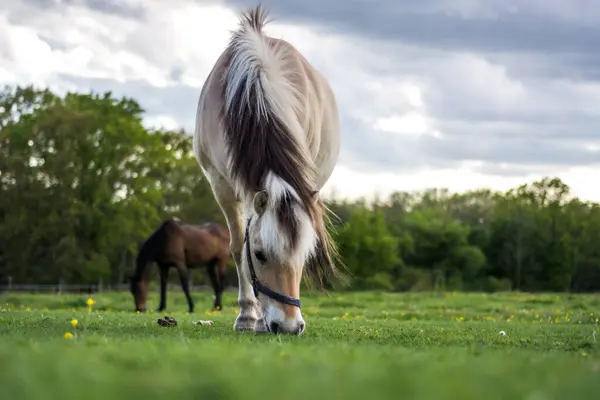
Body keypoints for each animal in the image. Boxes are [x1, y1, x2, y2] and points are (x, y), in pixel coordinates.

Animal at [193, 5, 342, 334]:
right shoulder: (221, 184)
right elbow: (238, 247)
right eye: (260, 255)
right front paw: (248, 316)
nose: (288, 326)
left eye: (304, 256)